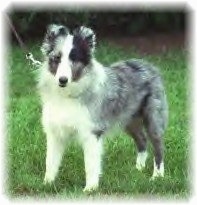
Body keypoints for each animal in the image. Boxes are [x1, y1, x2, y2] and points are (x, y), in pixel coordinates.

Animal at [38, 24, 168, 192]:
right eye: (57, 58)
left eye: (74, 59)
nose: (62, 80)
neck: (68, 94)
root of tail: (149, 65)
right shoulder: (55, 133)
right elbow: (51, 161)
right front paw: (47, 184)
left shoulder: (92, 133)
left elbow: (90, 164)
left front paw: (90, 188)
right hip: (129, 120)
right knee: (142, 140)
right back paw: (138, 169)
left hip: (153, 119)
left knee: (158, 146)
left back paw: (157, 176)